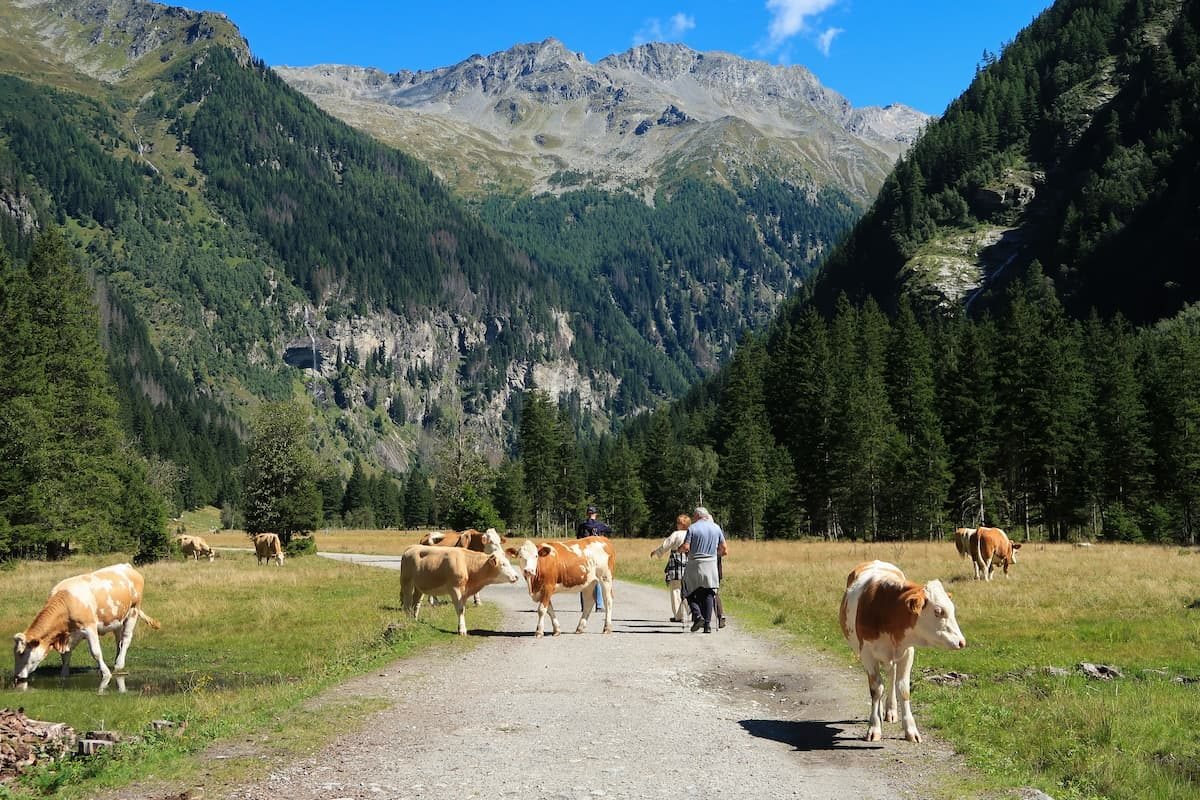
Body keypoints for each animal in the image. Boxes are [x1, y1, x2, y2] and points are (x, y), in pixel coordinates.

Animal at [13, 563, 161, 684]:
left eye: (21, 653)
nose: (17, 676)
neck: (67, 602)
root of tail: (126, 566)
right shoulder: (70, 634)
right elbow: (66, 654)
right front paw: (64, 673)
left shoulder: (90, 628)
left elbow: (96, 652)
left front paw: (106, 673)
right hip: (117, 619)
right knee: (118, 640)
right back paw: (116, 660)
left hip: (133, 611)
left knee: (126, 638)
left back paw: (119, 664)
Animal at [839, 560, 966, 743]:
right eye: (938, 611)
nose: (961, 642)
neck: (886, 608)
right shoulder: (867, 655)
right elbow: (876, 689)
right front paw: (874, 727)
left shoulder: (907, 653)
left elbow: (903, 689)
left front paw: (911, 729)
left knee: (891, 677)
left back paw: (891, 710)